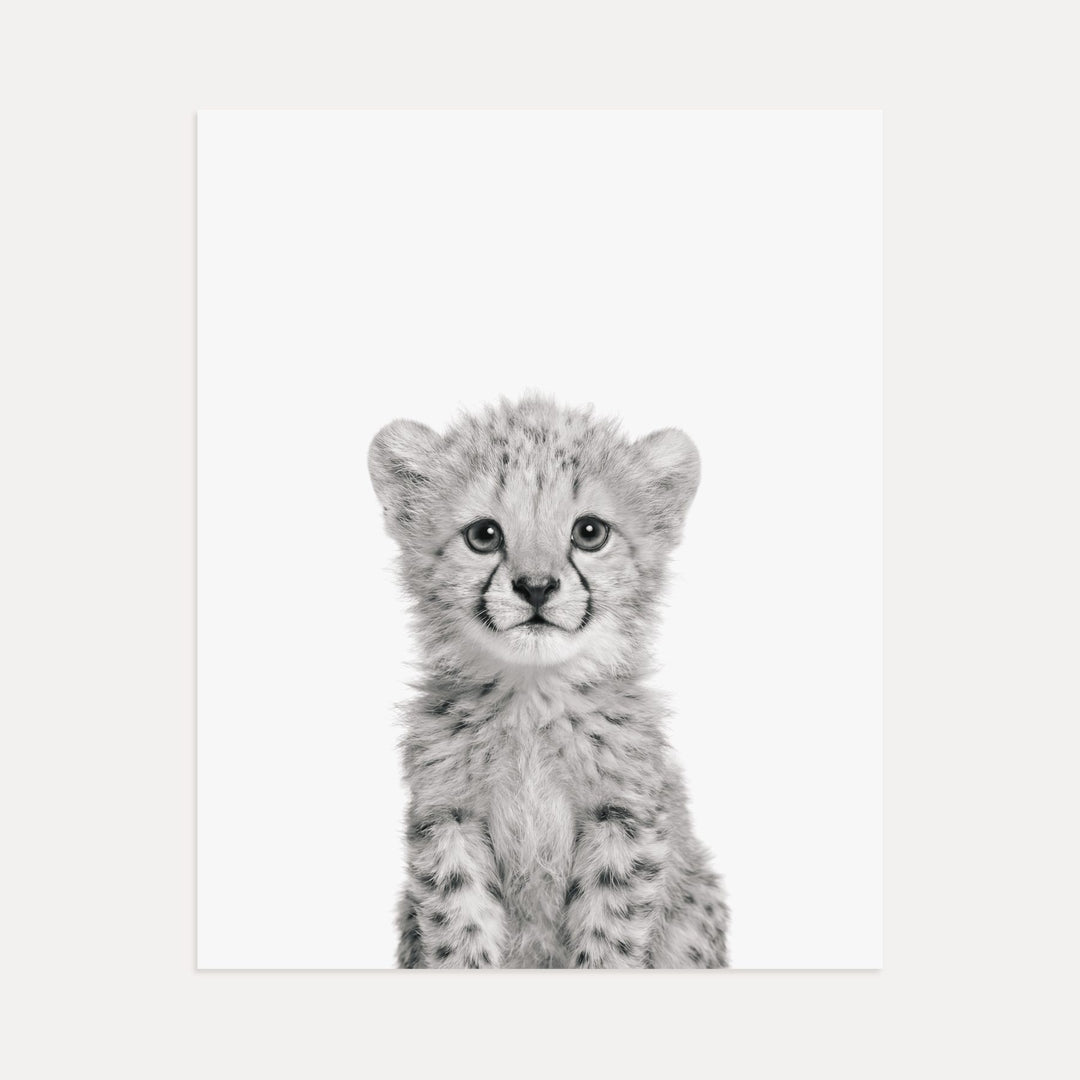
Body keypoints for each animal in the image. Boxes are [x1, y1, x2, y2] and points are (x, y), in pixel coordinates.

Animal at [368, 394, 729, 968]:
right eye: (484, 535)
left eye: (590, 532)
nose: (536, 586)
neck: (532, 700)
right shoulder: (449, 818)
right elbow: (459, 927)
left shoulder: (623, 819)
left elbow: (609, 933)